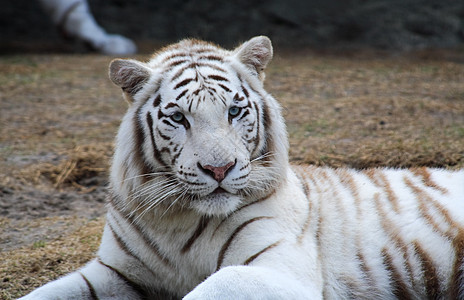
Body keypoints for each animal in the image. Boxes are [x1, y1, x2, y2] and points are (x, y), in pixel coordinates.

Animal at [22, 36, 464, 298]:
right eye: (178, 118)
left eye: (234, 111)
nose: (219, 169)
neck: (177, 219)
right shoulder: (114, 272)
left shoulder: (278, 268)